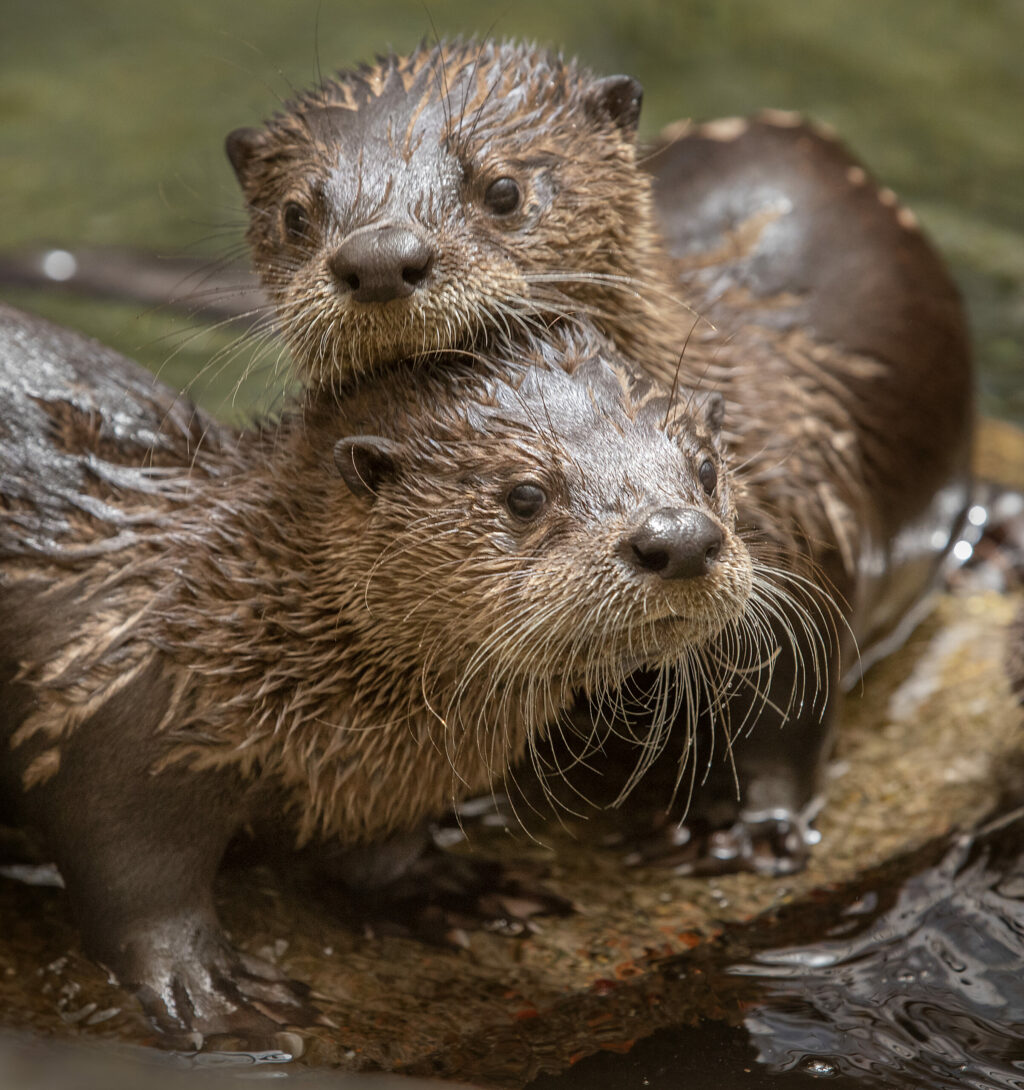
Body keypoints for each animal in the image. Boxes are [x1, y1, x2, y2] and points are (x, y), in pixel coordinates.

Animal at [0, 302, 752, 1045]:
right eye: (525, 495)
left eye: (706, 469)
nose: (680, 537)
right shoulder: (116, 730)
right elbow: (137, 889)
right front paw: (216, 994)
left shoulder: (383, 787)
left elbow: (379, 851)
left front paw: (447, 890)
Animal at [226, 39, 974, 872]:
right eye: (296, 213)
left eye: (504, 189)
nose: (382, 258)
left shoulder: (803, 540)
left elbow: (789, 712)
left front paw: (748, 831)